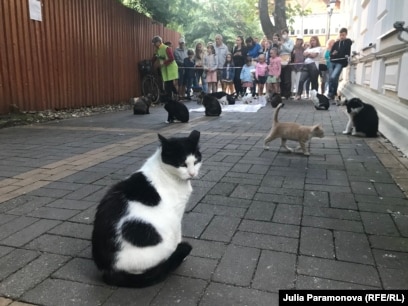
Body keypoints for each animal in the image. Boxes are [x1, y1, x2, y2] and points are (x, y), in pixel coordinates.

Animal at [91, 130, 202, 288]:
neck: (164, 171)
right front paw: (179, 251)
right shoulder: (176, 215)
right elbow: (178, 234)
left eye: (196, 161)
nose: (192, 174)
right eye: (182, 164)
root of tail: (107, 269)